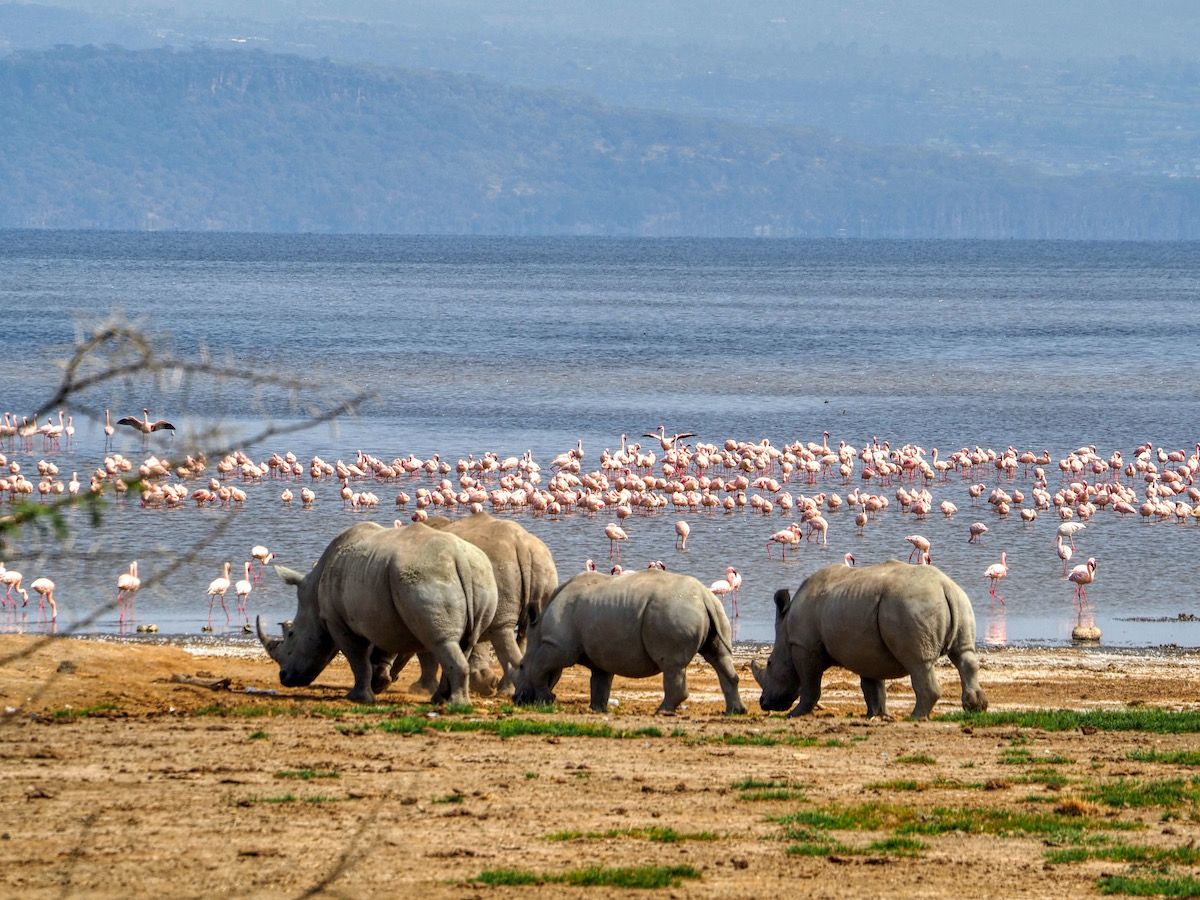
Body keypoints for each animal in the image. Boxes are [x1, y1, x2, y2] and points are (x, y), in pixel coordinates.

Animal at [258, 521, 498, 705]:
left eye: (291, 635)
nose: (284, 677)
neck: (313, 595)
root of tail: (460, 559)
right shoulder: (381, 614)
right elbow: (380, 650)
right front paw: (378, 685)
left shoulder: (338, 622)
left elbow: (357, 659)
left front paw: (359, 698)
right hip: (481, 576)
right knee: (466, 642)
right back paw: (440, 700)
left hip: (427, 576)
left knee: (441, 641)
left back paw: (456, 705)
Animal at [382, 512, 558, 696]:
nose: (388, 680)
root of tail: (523, 547)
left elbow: (427, 652)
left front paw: (421, 689)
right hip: (543, 568)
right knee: (524, 630)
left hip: (505, 568)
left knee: (502, 630)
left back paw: (503, 691)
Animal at [513, 569, 746, 715]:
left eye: (521, 666)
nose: (518, 699)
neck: (539, 631)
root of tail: (704, 596)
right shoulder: (600, 653)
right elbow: (600, 681)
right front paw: (597, 709)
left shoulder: (558, 646)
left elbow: (540, 668)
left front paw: (546, 700)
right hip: (711, 610)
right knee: (718, 657)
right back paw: (734, 711)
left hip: (675, 611)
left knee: (672, 665)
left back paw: (662, 711)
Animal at [752, 560, 988, 719]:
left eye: (769, 664)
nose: (763, 703)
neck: (786, 632)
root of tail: (944, 586)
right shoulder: (866, 650)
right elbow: (872, 685)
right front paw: (876, 715)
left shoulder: (804, 646)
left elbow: (810, 684)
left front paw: (795, 714)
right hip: (959, 600)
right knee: (963, 655)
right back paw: (976, 708)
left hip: (910, 606)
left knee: (919, 663)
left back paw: (916, 717)